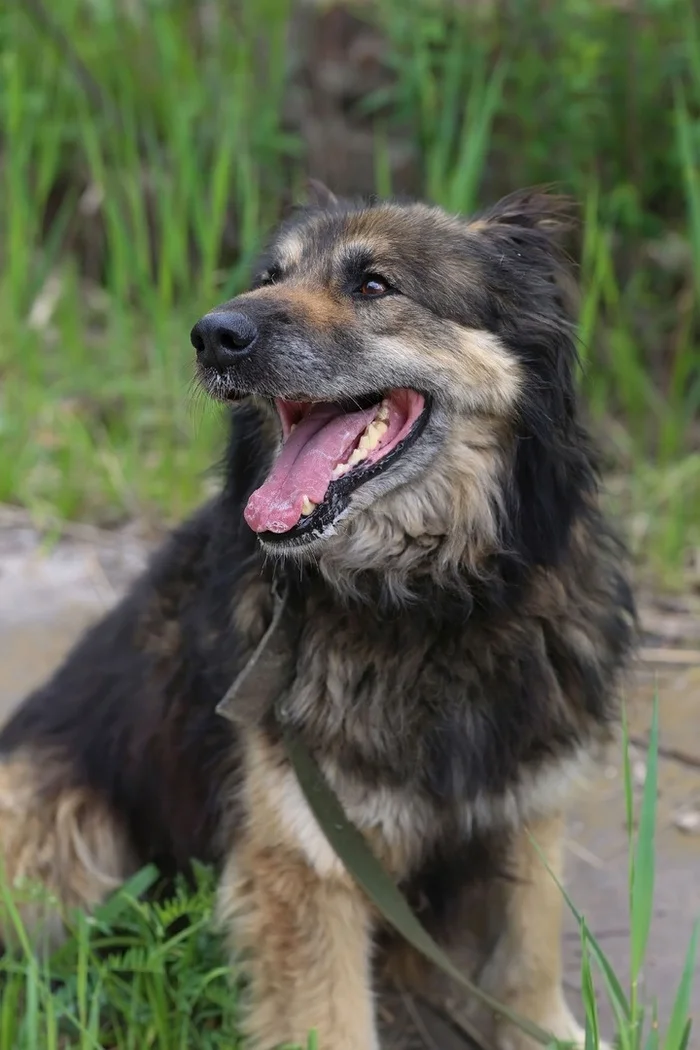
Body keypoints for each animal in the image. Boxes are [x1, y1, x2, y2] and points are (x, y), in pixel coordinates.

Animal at [0, 188, 633, 1050]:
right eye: (269, 277)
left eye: (373, 285)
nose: (213, 335)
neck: (426, 607)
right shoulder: (306, 857)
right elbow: (330, 1016)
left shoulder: (528, 803)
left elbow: (529, 955)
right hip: (62, 831)